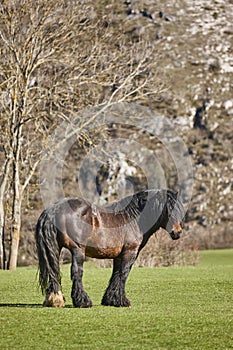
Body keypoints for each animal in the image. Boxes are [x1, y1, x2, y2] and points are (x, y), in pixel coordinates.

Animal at [35, 190, 184, 308]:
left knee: (53, 270)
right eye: (168, 209)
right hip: (78, 250)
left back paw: (54, 300)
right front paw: (122, 301)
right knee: (77, 273)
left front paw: (111, 300)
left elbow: (115, 275)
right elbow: (123, 274)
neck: (132, 219)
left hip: (56, 248)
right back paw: (83, 301)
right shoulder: (130, 253)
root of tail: (52, 210)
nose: (177, 232)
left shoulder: (118, 256)